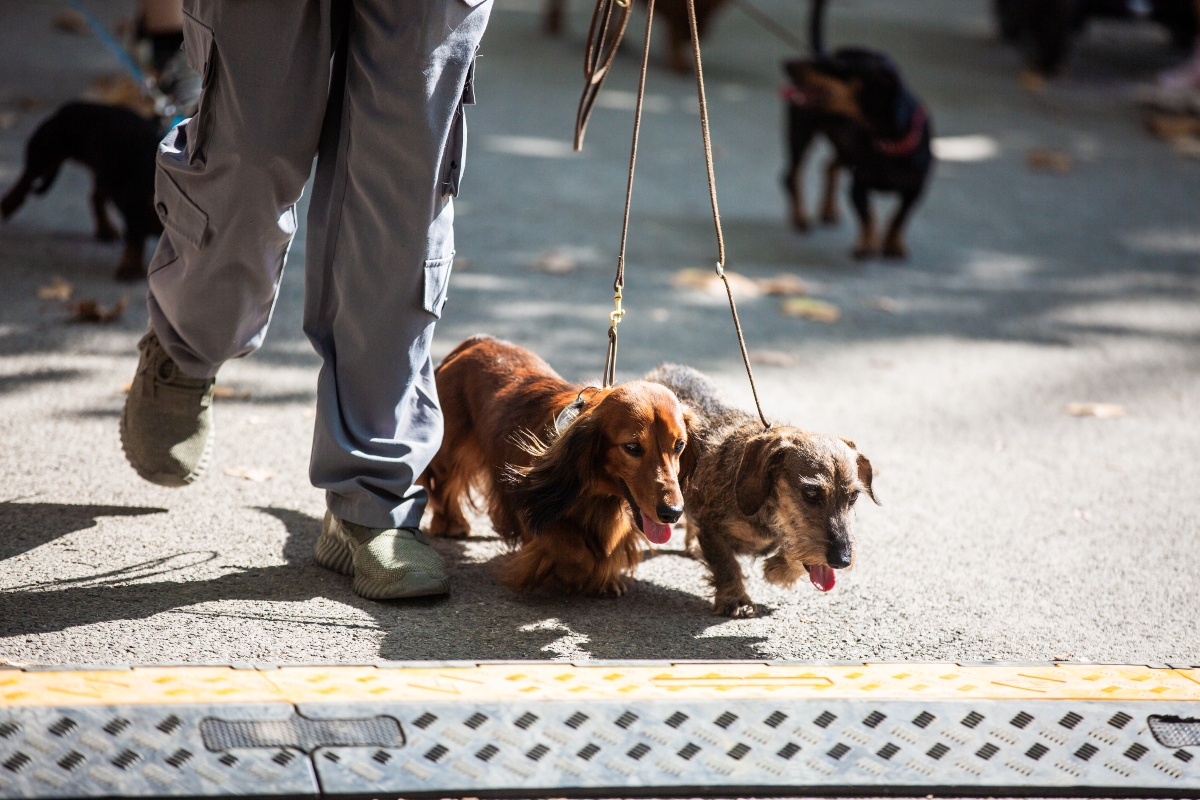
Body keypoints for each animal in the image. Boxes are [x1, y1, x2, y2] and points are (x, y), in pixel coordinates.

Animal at [1, 102, 163, 281]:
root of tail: (68, 107)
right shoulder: (132, 205)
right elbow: (136, 238)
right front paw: (130, 267)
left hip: (103, 174)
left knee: (95, 197)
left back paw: (105, 228)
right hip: (45, 150)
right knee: (27, 176)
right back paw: (9, 203)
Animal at [652, 364, 878, 618]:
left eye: (854, 496)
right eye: (810, 493)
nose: (843, 560)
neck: (768, 511)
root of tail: (667, 367)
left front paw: (778, 569)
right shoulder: (711, 527)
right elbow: (725, 564)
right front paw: (735, 600)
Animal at [782, 47, 931, 260]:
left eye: (837, 65)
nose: (786, 63)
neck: (887, 142)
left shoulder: (915, 189)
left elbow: (899, 217)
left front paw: (893, 244)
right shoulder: (858, 186)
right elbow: (868, 215)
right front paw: (867, 244)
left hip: (843, 147)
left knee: (829, 166)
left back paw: (828, 210)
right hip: (801, 135)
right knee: (791, 176)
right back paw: (799, 216)